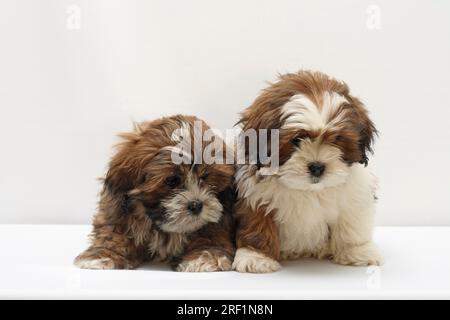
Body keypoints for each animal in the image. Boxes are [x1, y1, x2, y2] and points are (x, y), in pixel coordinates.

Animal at [74, 114, 236, 272]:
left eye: (206, 176)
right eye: (172, 180)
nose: (196, 205)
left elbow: (211, 232)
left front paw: (206, 255)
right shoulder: (118, 209)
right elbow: (114, 232)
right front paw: (104, 255)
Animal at [232, 70, 384, 272]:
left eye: (336, 139)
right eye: (296, 140)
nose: (317, 167)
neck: (309, 190)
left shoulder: (355, 195)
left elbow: (351, 224)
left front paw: (357, 251)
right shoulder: (256, 196)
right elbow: (258, 225)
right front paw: (256, 257)